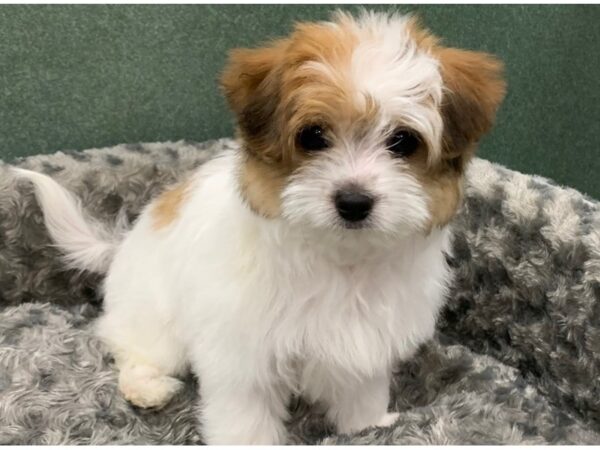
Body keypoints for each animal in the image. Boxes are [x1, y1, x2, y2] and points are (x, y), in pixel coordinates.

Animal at [16, 11, 504, 446]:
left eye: (403, 141)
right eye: (313, 136)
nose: (353, 202)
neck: (339, 260)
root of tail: (121, 247)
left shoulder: (364, 349)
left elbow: (360, 403)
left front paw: (372, 428)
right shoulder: (241, 361)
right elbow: (244, 422)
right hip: (154, 321)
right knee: (131, 348)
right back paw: (146, 388)